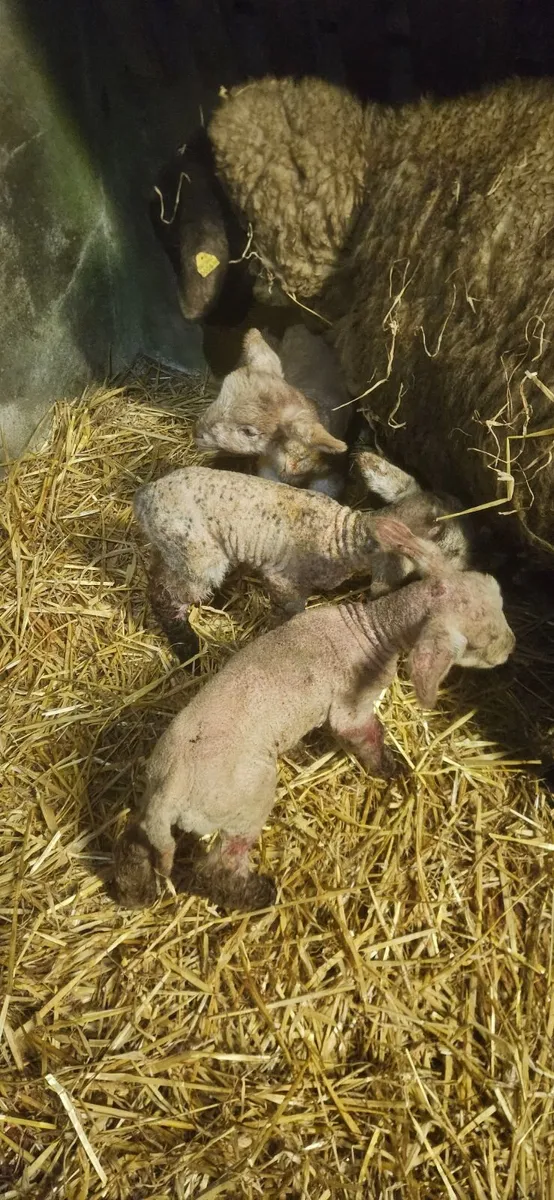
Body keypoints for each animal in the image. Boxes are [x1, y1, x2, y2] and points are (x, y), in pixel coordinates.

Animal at [114, 518, 515, 911]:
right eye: (476, 643)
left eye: (498, 594)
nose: (510, 649)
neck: (373, 626)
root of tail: (168, 795)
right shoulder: (352, 706)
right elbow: (367, 736)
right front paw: (390, 769)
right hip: (244, 800)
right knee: (219, 865)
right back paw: (257, 896)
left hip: (153, 797)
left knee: (136, 837)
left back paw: (135, 890)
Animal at [132, 465, 453, 645]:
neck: (344, 537)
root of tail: (145, 496)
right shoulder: (283, 580)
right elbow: (291, 611)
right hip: (198, 557)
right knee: (166, 596)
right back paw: (186, 648)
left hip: (173, 548)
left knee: (157, 577)